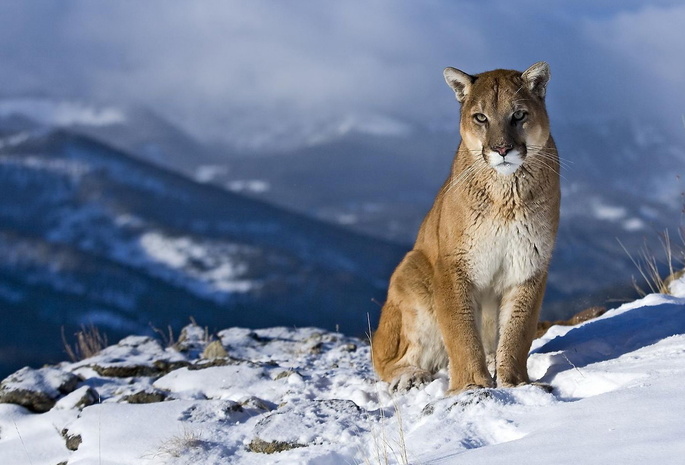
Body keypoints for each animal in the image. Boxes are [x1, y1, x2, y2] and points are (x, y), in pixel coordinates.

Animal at [372, 62, 560, 392]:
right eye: (481, 117)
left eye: (519, 115)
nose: (502, 149)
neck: (506, 195)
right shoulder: (454, 266)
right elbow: (461, 331)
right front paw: (472, 384)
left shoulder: (528, 265)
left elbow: (518, 331)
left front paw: (515, 382)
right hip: (412, 270)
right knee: (385, 356)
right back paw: (409, 376)